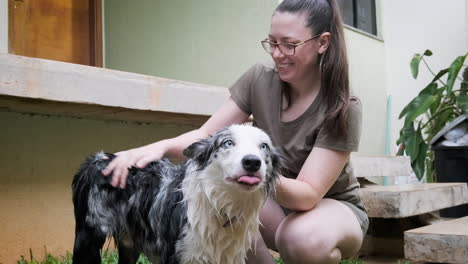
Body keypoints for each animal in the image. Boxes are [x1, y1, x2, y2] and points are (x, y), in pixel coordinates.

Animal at [70, 125, 282, 264]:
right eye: (228, 143)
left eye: (264, 146)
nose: (252, 162)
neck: (220, 204)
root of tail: (97, 159)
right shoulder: (178, 256)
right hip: (87, 240)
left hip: (129, 244)